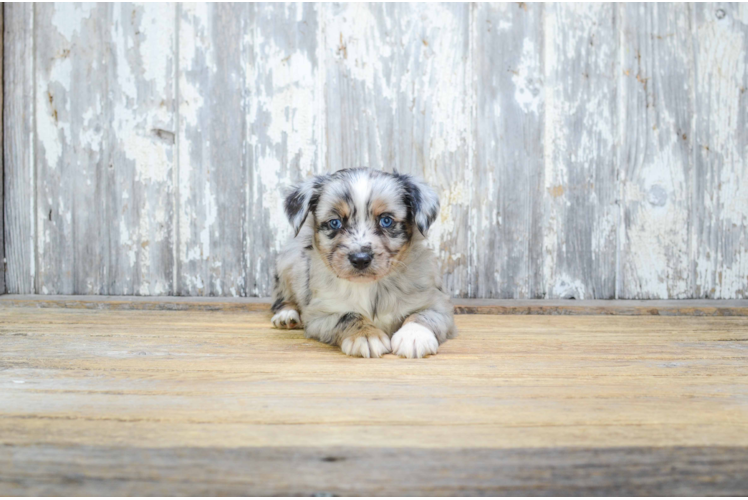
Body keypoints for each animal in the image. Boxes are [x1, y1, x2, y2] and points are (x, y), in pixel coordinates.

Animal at [270, 170, 456, 358]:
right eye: (335, 222)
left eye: (386, 220)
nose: (360, 259)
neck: (369, 286)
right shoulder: (319, 314)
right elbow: (348, 316)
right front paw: (366, 335)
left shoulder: (438, 303)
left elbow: (422, 315)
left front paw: (413, 335)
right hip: (286, 264)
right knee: (283, 297)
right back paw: (286, 315)